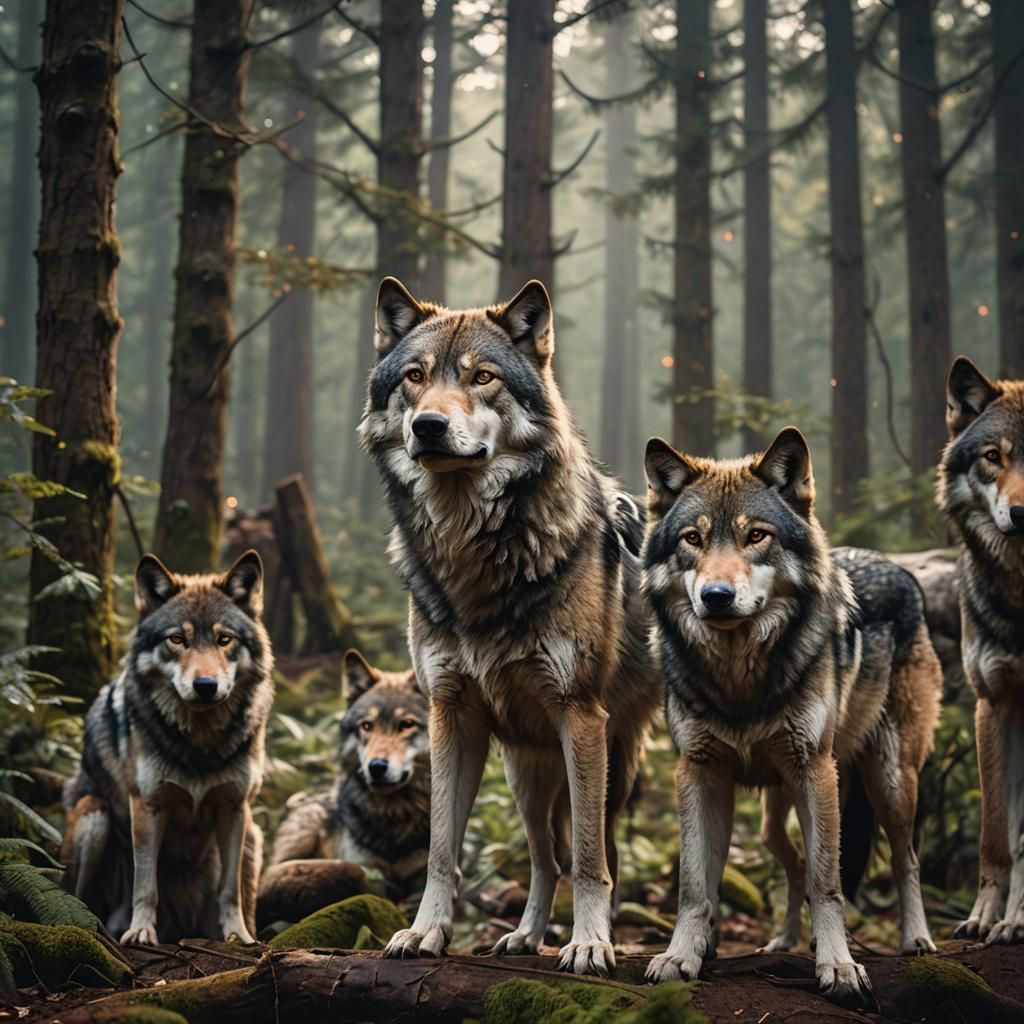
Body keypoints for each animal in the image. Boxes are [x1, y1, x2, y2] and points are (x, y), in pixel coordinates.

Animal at [61, 551, 273, 945]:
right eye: (177, 639)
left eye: (224, 639)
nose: (205, 685)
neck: (200, 743)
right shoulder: (148, 805)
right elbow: (146, 883)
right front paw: (141, 931)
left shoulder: (233, 807)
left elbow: (230, 890)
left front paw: (238, 936)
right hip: (95, 817)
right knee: (74, 895)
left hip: (253, 835)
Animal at [358, 277, 661, 975]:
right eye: (415, 377)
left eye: (483, 377)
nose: (429, 425)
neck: (473, 557)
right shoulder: (450, 713)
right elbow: (442, 849)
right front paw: (426, 933)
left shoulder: (581, 715)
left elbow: (590, 858)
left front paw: (589, 944)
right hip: (527, 773)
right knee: (543, 858)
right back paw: (525, 936)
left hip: (618, 762)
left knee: (599, 851)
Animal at [642, 427, 942, 1007]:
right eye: (692, 539)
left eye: (756, 536)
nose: (717, 597)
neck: (739, 679)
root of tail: (898, 565)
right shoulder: (699, 772)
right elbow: (696, 882)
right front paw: (685, 954)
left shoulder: (813, 769)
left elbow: (829, 883)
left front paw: (840, 967)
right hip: (771, 819)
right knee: (795, 868)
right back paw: (782, 941)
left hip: (889, 780)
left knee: (905, 858)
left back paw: (916, 938)